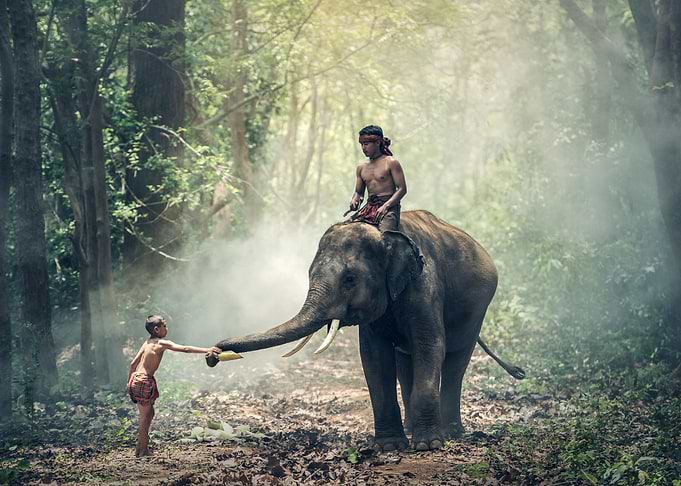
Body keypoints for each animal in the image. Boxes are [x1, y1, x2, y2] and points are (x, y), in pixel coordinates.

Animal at [207, 210, 525, 451]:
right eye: (309, 274)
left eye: (349, 279)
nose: (213, 354)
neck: (385, 235)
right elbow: (374, 356)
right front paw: (391, 446)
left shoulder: (425, 286)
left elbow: (430, 345)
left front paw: (427, 446)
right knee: (405, 363)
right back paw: (413, 429)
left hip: (478, 309)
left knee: (456, 361)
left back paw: (452, 433)